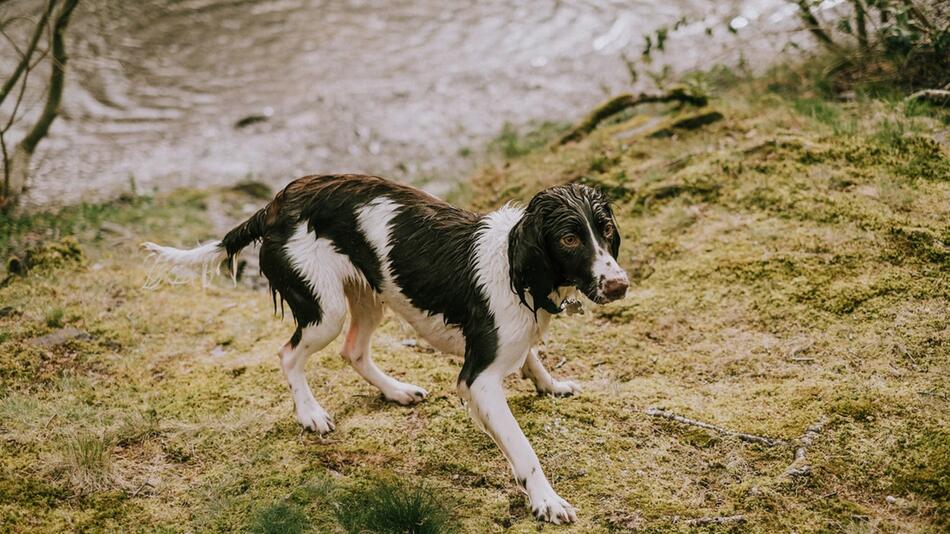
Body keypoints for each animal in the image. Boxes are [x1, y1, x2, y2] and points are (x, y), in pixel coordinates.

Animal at [145, 174, 628, 524]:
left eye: (604, 229)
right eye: (569, 239)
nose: (619, 285)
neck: (515, 267)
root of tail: (277, 203)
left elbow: (532, 356)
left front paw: (551, 385)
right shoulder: (478, 380)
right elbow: (523, 449)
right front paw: (546, 500)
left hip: (368, 295)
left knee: (353, 351)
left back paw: (396, 391)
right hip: (326, 309)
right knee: (289, 354)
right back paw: (310, 414)